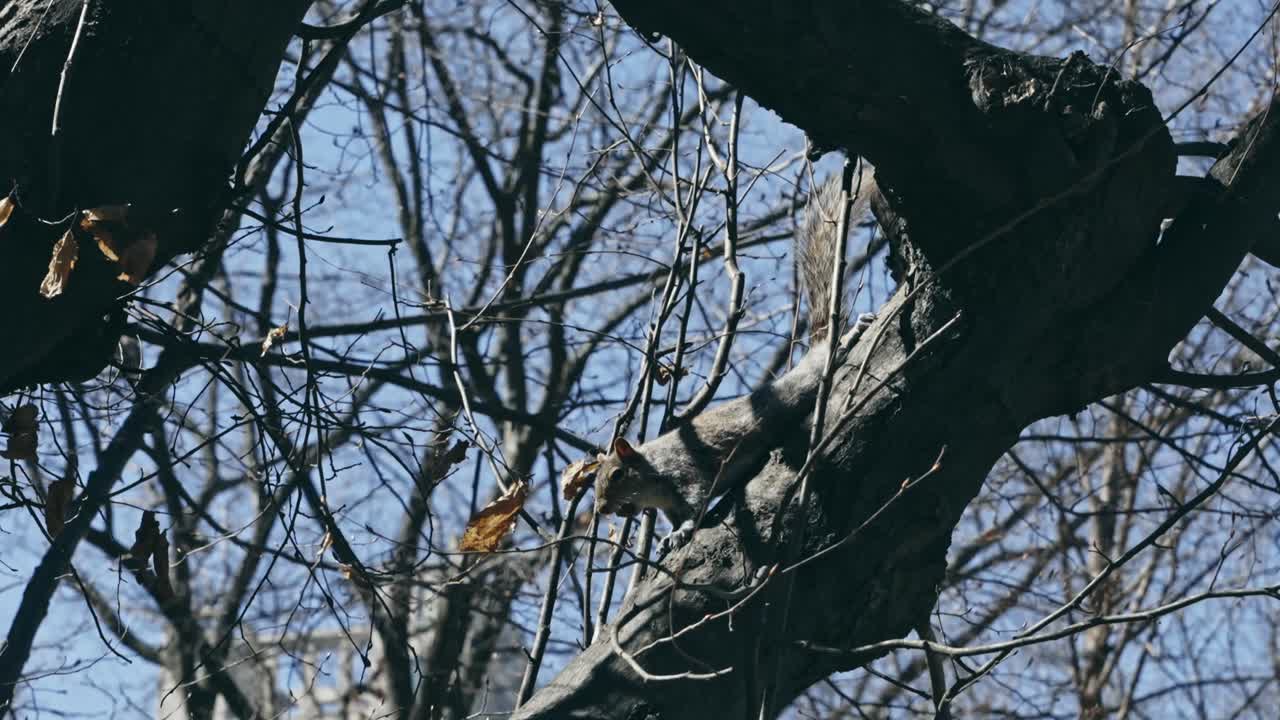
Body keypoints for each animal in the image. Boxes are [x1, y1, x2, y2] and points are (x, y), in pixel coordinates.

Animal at [593, 170, 879, 549]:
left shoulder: (686, 472)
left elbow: (696, 503)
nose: (600, 509)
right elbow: (676, 517)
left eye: (617, 474)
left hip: (806, 380)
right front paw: (668, 537)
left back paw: (852, 335)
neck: (653, 475)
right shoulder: (669, 505)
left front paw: (682, 532)